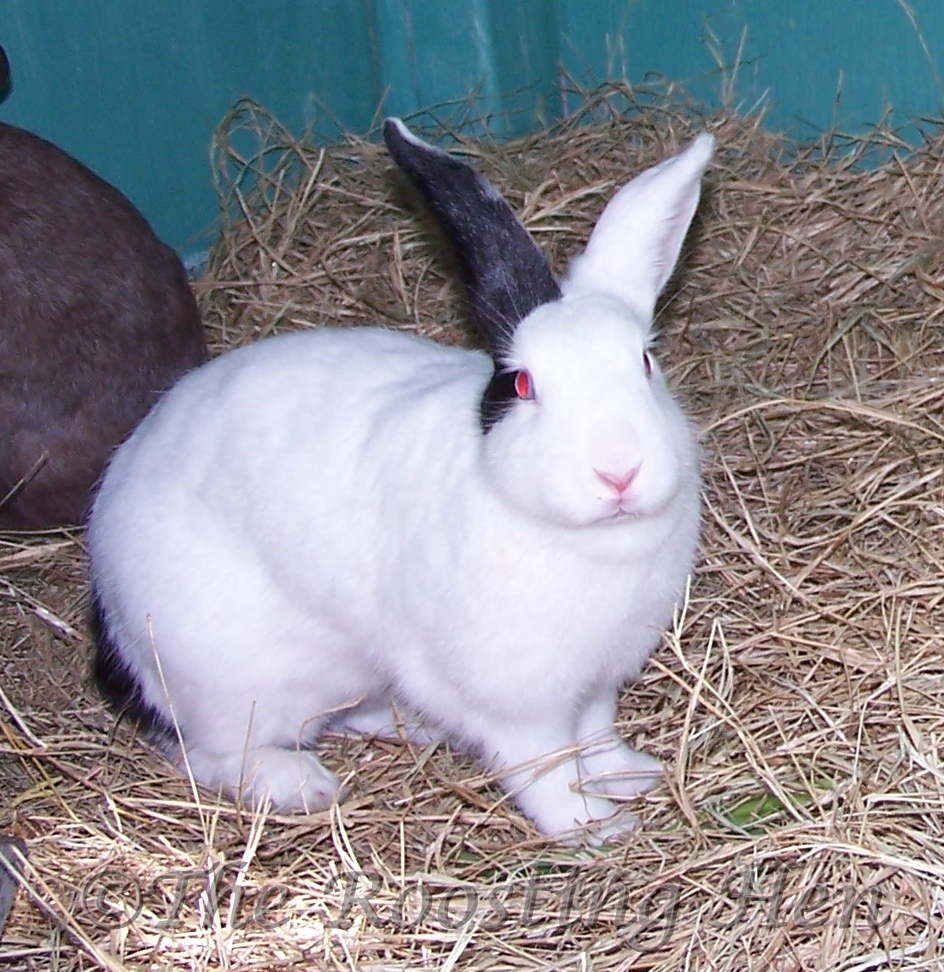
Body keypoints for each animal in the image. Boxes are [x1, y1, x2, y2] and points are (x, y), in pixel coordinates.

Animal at [88, 119, 713, 843]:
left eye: (644, 363)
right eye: (522, 385)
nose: (618, 471)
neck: (592, 539)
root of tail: (107, 607)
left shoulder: (598, 680)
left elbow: (597, 735)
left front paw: (631, 774)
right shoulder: (513, 702)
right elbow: (546, 767)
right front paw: (594, 828)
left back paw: (408, 726)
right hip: (235, 686)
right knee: (207, 753)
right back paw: (299, 783)